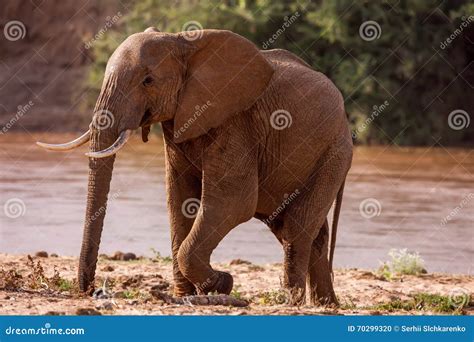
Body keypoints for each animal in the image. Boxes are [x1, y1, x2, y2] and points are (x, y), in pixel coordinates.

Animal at [38, 27, 352, 304]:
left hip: (334, 152)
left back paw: (293, 301)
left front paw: (221, 283)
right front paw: (187, 295)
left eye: (148, 81)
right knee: (304, 231)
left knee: (296, 227)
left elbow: (233, 203)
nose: (91, 290)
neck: (184, 42)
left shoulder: (236, 122)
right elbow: (179, 200)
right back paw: (326, 304)